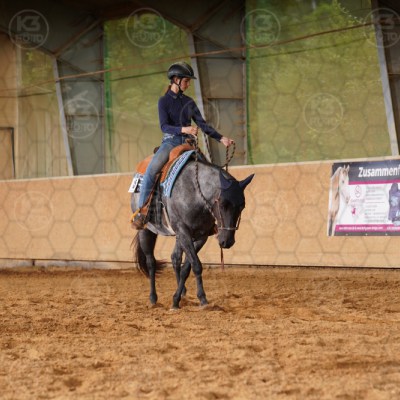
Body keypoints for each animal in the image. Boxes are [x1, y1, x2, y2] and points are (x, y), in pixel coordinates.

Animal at [131, 156, 254, 309]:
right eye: (223, 204)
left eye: (242, 206)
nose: (227, 241)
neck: (195, 194)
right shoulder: (184, 232)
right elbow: (196, 265)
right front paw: (202, 299)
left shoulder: (200, 236)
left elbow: (187, 268)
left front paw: (178, 299)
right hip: (146, 230)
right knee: (151, 262)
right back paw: (153, 298)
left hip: (178, 236)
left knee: (175, 258)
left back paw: (182, 292)